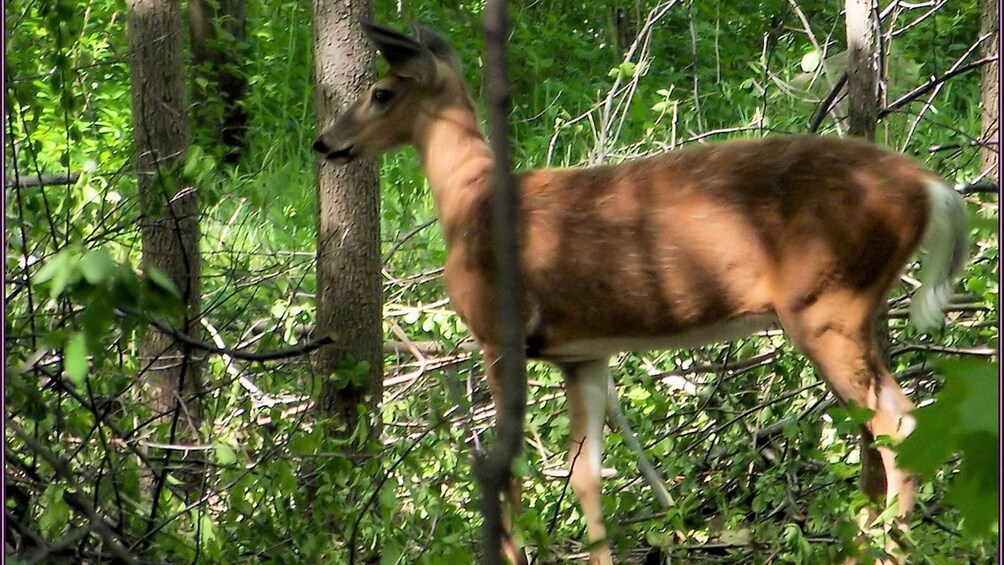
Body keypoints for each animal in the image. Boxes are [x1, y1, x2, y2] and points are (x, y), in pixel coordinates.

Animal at [315, 19, 971, 561]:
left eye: (380, 92)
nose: (325, 142)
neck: (469, 205)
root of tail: (932, 186)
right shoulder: (582, 353)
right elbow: (585, 474)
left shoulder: (498, 333)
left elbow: (512, 466)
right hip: (855, 306)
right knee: (883, 436)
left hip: (823, 304)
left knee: (898, 428)